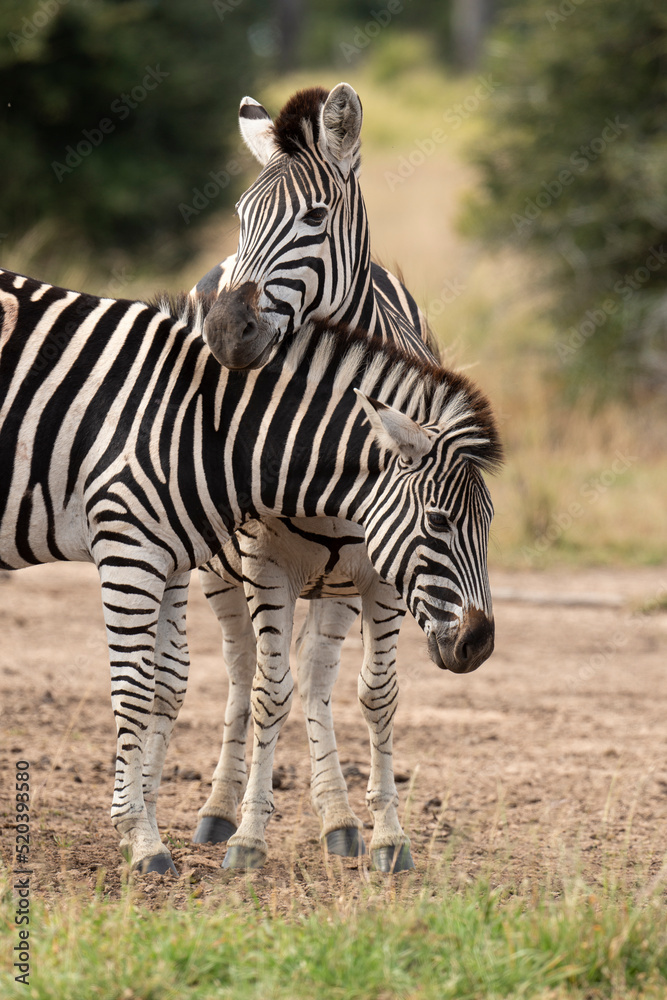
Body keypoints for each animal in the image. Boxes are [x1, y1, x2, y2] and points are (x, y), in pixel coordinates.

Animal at [0, 268, 500, 876]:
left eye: (489, 523)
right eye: (438, 520)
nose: (479, 643)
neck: (199, 426)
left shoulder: (165, 556)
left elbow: (169, 680)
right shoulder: (130, 548)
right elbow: (138, 687)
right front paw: (142, 838)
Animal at [190, 83, 441, 870]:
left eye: (314, 217)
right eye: (243, 216)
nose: (226, 334)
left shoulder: (387, 573)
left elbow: (377, 694)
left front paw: (389, 837)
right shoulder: (263, 563)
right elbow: (267, 693)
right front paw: (247, 838)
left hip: (337, 584)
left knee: (319, 677)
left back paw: (338, 820)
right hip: (218, 569)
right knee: (244, 674)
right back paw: (217, 812)